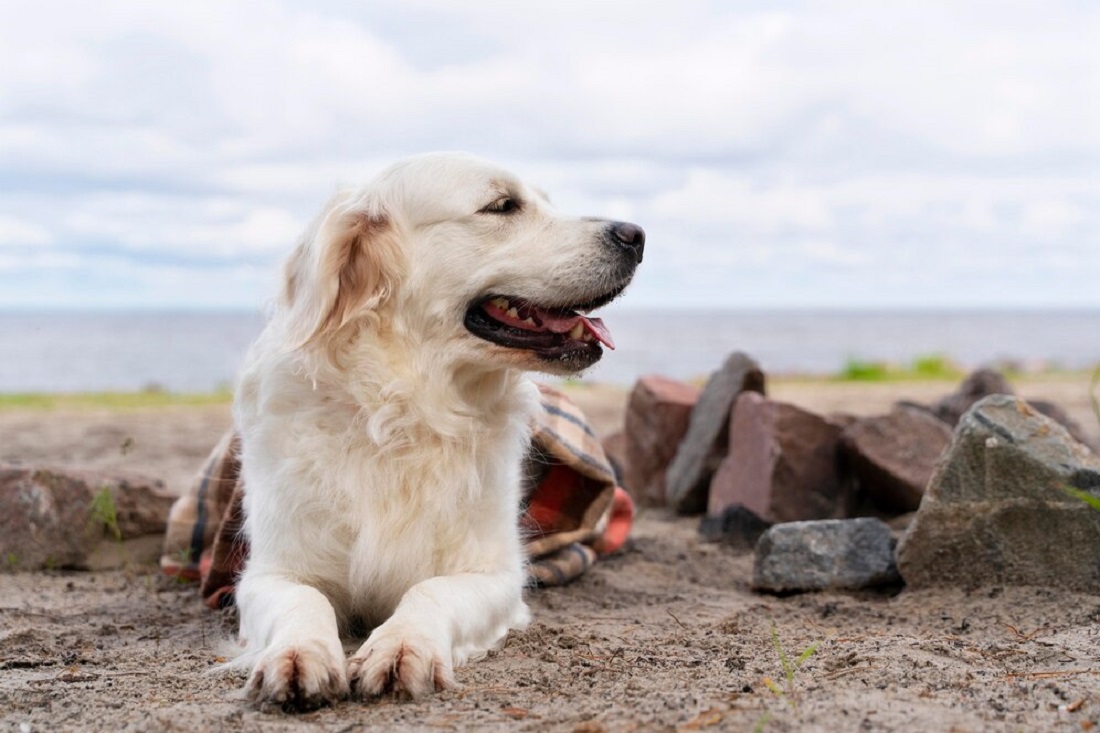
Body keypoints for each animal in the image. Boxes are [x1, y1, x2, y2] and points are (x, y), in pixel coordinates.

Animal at [232, 152, 642, 708]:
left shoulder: (496, 575)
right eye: (502, 206)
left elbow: (429, 589)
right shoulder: (270, 571)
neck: (404, 410)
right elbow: (304, 598)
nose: (637, 235)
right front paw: (299, 653)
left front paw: (403, 646)